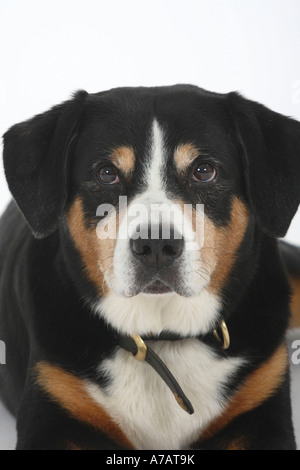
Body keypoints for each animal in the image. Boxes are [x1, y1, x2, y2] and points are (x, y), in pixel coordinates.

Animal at [0, 85, 300, 452]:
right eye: (106, 173)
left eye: (204, 170)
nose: (156, 245)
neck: (161, 337)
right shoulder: (53, 409)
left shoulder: (262, 409)